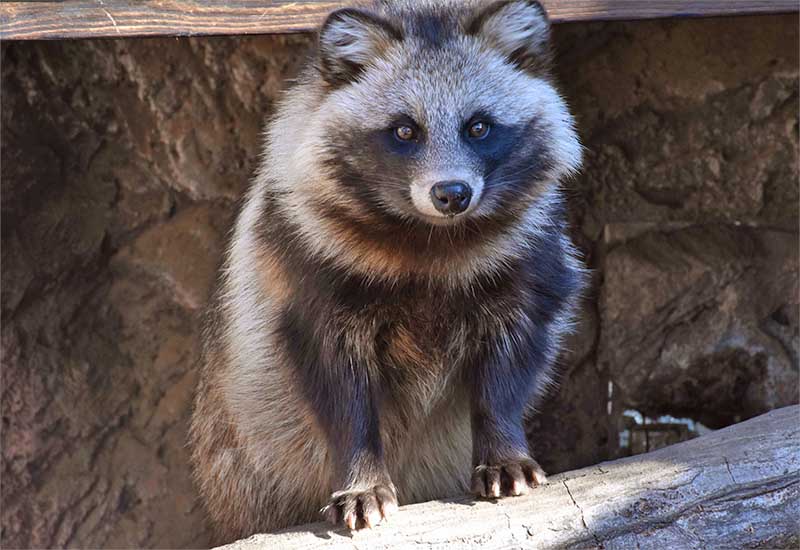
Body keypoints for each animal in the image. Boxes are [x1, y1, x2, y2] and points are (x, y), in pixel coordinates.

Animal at [191, 0, 584, 544]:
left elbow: (510, 362)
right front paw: (361, 478)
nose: (451, 194)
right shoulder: (305, 272)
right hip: (240, 457)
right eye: (404, 130)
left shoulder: (529, 261)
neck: (431, 237)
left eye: (478, 127)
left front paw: (503, 447)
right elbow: (340, 389)